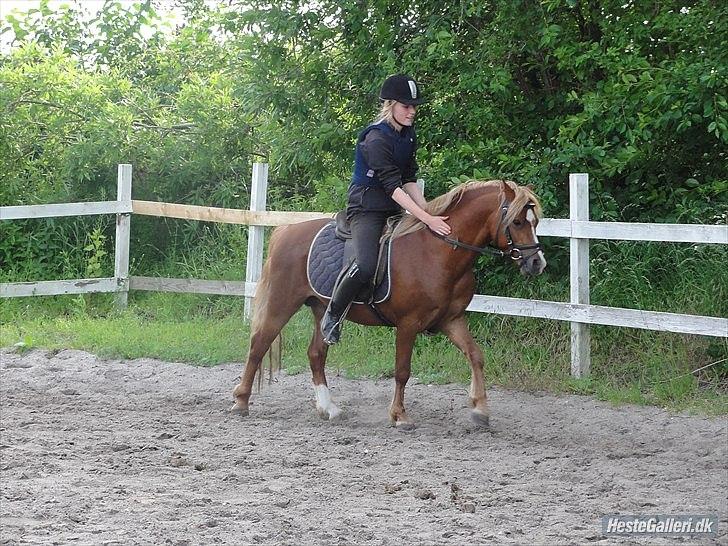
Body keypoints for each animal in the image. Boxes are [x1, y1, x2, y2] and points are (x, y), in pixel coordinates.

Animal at [230, 181, 544, 428]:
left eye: (535, 222)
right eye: (517, 221)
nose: (537, 263)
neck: (438, 252)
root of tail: (284, 231)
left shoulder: (451, 319)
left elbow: (476, 356)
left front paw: (480, 409)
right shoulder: (408, 324)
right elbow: (402, 371)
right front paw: (399, 415)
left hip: (323, 310)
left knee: (316, 354)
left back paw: (328, 408)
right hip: (281, 302)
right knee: (258, 345)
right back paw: (241, 402)